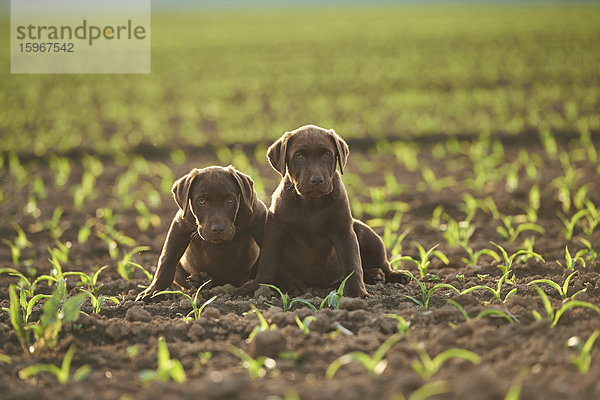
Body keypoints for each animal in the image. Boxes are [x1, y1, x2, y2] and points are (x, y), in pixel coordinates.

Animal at [137, 166, 268, 300]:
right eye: (201, 201)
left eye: (230, 200)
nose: (218, 229)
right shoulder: (179, 227)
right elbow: (166, 260)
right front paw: (155, 290)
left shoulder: (259, 218)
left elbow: (268, 258)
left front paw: (256, 287)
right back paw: (200, 281)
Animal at [237, 125, 410, 296]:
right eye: (299, 156)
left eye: (327, 155)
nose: (316, 180)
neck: (311, 204)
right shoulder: (275, 230)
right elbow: (268, 263)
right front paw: (255, 287)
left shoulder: (344, 232)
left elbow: (353, 265)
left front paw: (357, 294)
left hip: (367, 233)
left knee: (383, 263)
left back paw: (392, 275)